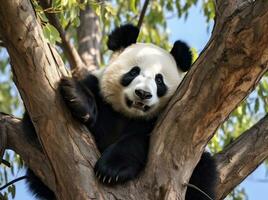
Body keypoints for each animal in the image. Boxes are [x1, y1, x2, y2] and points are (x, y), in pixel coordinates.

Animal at [24, 24, 217, 199]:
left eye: (159, 80)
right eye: (133, 72)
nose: (143, 94)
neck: (127, 114)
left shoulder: (158, 123)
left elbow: (137, 141)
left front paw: (111, 170)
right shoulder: (99, 93)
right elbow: (35, 127)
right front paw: (77, 97)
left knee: (204, 172)